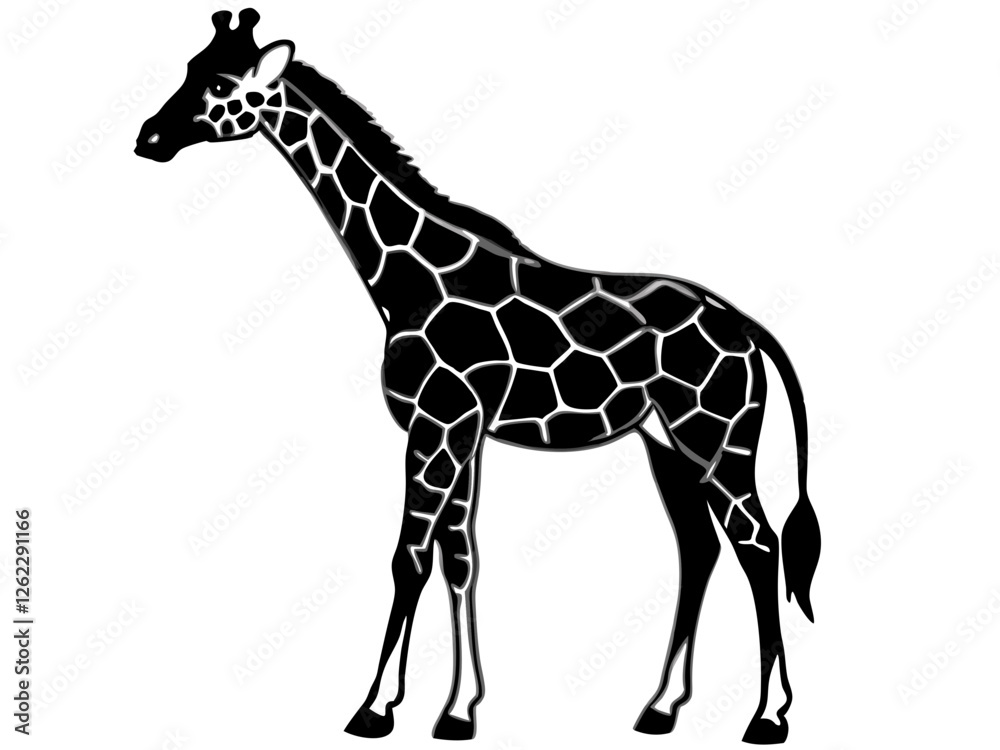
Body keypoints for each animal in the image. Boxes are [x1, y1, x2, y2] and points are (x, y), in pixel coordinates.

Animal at [136, 10, 821, 744]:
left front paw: (374, 707)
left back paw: (768, 715)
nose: (148, 138)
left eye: (220, 83)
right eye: (188, 68)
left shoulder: (437, 425)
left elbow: (409, 556)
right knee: (700, 546)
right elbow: (459, 556)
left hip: (715, 435)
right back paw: (661, 707)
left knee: (758, 544)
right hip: (666, 440)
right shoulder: (461, 430)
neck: (404, 278)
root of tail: (748, 329)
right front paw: (458, 709)